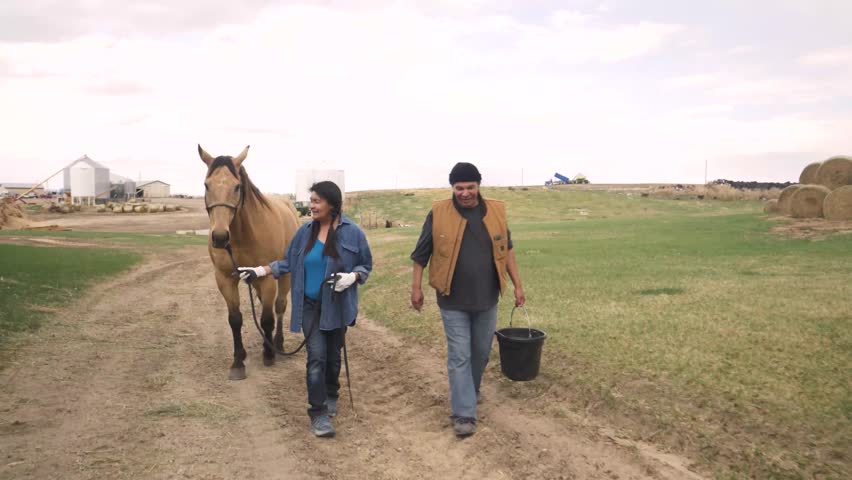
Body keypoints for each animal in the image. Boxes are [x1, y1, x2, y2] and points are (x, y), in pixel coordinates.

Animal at [198, 144, 300, 380]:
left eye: (237, 186)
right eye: (206, 185)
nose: (219, 237)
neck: (243, 235)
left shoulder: (268, 278)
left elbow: (267, 318)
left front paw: (269, 355)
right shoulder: (225, 278)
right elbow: (235, 319)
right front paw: (238, 361)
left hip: (285, 275)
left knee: (279, 307)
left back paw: (276, 345)